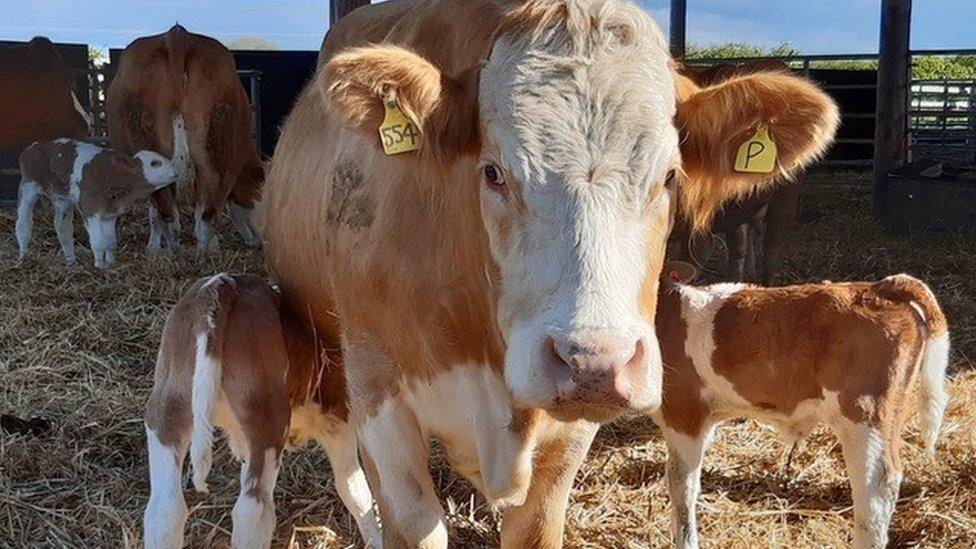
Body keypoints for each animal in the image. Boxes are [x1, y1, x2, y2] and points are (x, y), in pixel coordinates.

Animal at [15, 139, 175, 268]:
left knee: (63, 229)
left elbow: (110, 241)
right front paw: (99, 265)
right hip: (28, 188)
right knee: (23, 225)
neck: (112, 176)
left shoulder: (110, 214)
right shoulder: (90, 209)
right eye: (155, 163)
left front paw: (110, 262)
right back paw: (22, 257)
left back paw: (71, 262)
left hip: (62, 200)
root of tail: (35, 146)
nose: (175, 170)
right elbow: (98, 241)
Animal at [107, 26, 264, 254]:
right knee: (203, 212)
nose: (261, 242)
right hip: (218, 152)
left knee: (178, 215)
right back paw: (199, 253)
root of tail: (177, 35)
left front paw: (153, 247)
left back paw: (180, 251)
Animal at [145, 272, 382, 548]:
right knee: (253, 510)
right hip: (267, 420)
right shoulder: (337, 421)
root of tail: (223, 284)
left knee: (165, 508)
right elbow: (356, 488)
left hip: (168, 407)